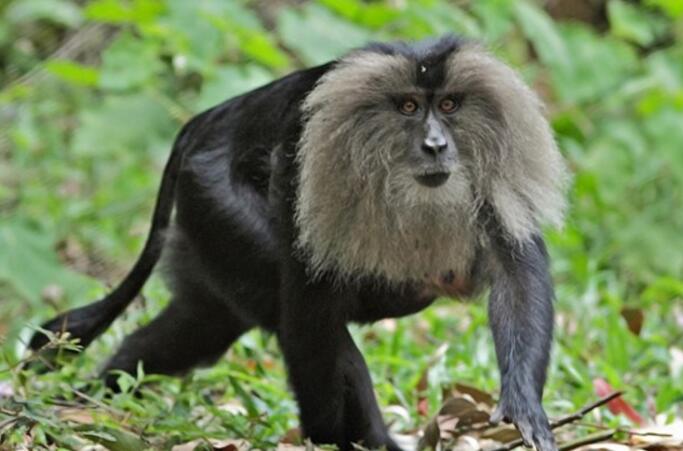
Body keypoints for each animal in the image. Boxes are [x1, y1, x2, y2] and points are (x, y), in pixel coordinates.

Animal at [29, 36, 568, 451]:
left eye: (450, 105)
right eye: (409, 107)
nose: (436, 145)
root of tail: (206, 121)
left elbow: (517, 276)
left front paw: (523, 406)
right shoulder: (302, 164)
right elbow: (310, 320)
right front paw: (326, 440)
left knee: (197, 326)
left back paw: (95, 395)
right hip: (218, 201)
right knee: (311, 323)